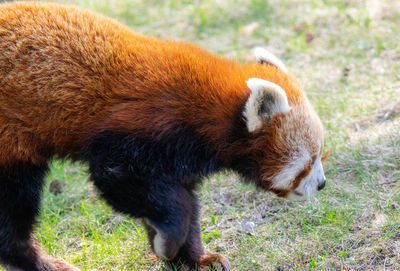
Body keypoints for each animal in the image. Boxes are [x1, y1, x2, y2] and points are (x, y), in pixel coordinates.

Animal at [0, 2, 324, 271]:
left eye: (319, 154)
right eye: (308, 161)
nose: (321, 184)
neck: (208, 107)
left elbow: (184, 203)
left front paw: (194, 259)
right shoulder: (137, 133)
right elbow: (125, 183)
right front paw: (168, 241)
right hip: (10, 140)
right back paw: (39, 262)